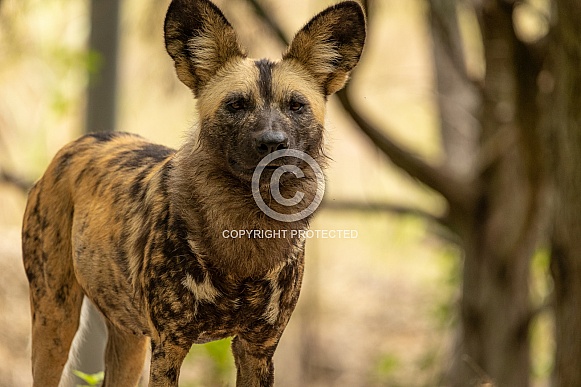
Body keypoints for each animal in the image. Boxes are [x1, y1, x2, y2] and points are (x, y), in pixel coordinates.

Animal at [22, 0, 364, 384]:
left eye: (296, 105)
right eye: (236, 105)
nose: (273, 143)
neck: (247, 232)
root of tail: (84, 140)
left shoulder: (258, 349)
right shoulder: (170, 347)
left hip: (129, 340)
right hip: (56, 321)